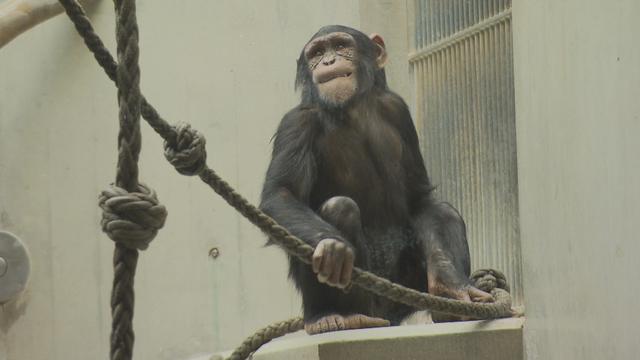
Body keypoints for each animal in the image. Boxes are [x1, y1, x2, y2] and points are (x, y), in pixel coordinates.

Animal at [258, 26, 492, 334]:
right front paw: (333, 247)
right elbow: (282, 193)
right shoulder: (295, 124)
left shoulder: (399, 111)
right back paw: (333, 315)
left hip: (404, 292)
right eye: (316, 53)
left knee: (444, 211)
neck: (352, 108)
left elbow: (419, 199)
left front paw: (450, 284)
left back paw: (451, 308)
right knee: (340, 208)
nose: (328, 61)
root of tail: (386, 316)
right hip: (368, 299)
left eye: (340, 45)